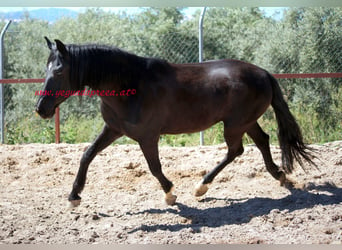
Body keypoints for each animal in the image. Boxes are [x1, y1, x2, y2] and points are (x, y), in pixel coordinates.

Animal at [35, 36, 316, 205]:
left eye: (59, 71)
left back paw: (202, 186)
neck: (131, 84)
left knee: (236, 150)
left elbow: (154, 167)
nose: (41, 109)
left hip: (235, 125)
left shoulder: (148, 137)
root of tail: (264, 73)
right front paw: (74, 196)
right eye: (45, 69)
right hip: (244, 122)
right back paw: (280, 176)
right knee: (261, 141)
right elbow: (87, 154)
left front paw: (170, 194)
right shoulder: (113, 129)